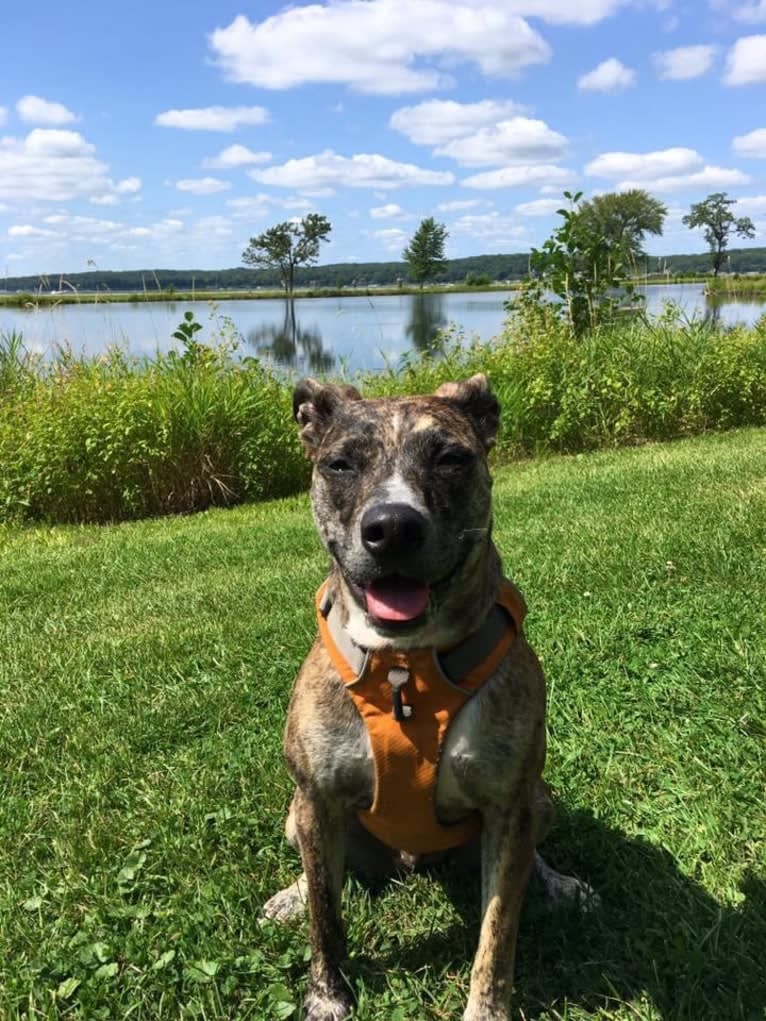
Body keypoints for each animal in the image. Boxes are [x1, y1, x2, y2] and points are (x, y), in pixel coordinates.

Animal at [261, 375, 592, 1021]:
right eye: (340, 464)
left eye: (450, 459)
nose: (392, 527)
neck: (406, 666)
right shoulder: (316, 796)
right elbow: (325, 916)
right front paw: (326, 994)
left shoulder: (508, 805)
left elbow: (498, 930)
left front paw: (486, 1009)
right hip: (297, 814)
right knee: (318, 872)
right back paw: (290, 895)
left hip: (540, 800)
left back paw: (556, 882)